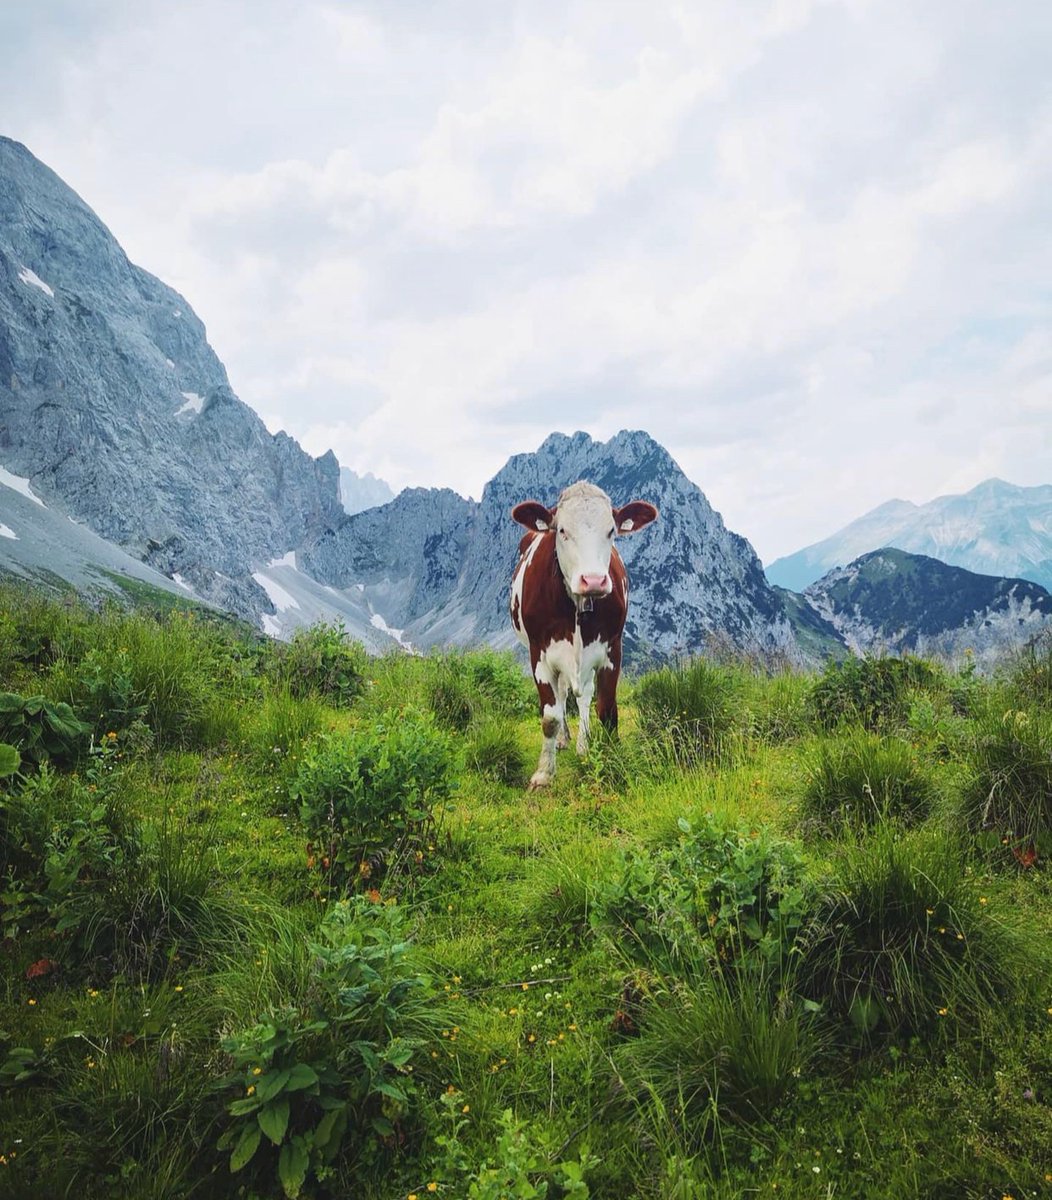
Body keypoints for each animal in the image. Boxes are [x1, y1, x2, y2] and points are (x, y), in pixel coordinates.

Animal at [509, 481, 658, 789]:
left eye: (611, 530)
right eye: (562, 530)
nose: (593, 581)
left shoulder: (612, 649)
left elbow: (606, 709)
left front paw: (611, 758)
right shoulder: (539, 654)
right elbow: (550, 716)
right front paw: (544, 773)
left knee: (582, 696)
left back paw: (581, 744)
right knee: (563, 694)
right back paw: (563, 740)